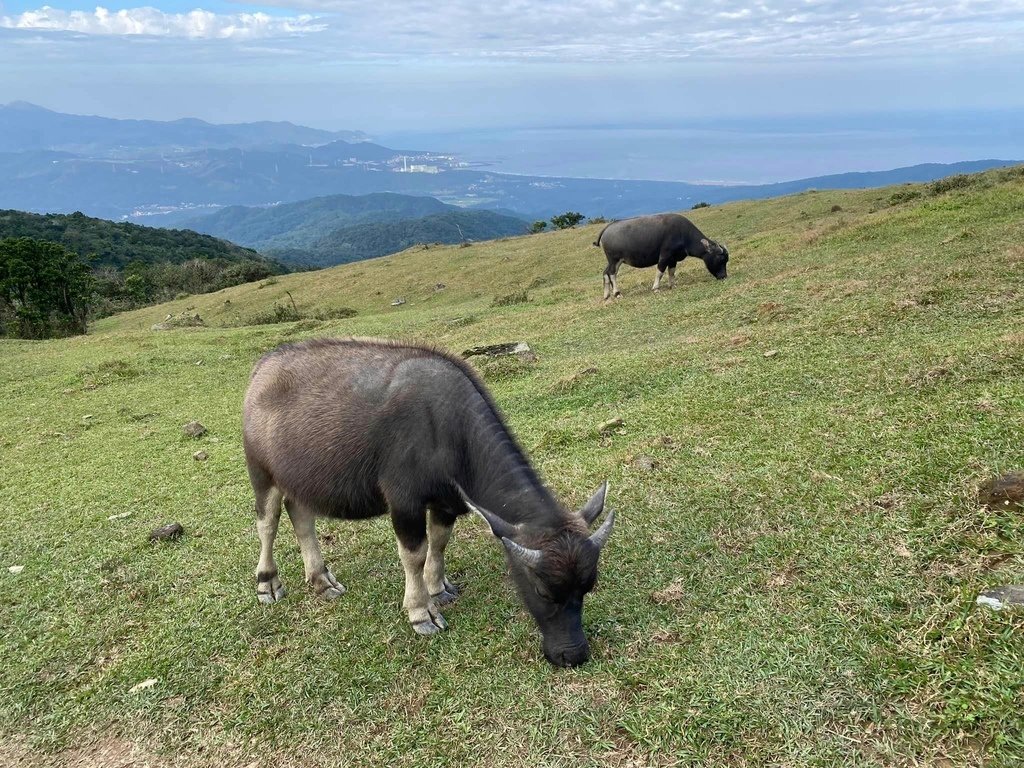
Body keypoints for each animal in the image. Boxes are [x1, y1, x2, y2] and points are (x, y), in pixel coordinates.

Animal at [241, 337, 614, 667]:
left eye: (587, 587)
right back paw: (268, 582)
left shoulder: (446, 502)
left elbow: (439, 542)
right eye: (542, 591)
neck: (446, 429)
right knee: (267, 522)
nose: (572, 655)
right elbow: (414, 555)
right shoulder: (404, 502)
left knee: (300, 516)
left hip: (298, 479)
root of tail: (262, 368)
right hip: (261, 473)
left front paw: (438, 587)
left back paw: (321, 579)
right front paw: (421, 611)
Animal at [593, 217, 729, 303]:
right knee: (612, 274)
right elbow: (660, 271)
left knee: (605, 273)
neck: (683, 235)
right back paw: (617, 293)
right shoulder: (665, 256)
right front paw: (656, 288)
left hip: (612, 261)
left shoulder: (673, 259)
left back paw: (606, 295)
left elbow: (671, 272)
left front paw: (672, 285)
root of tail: (607, 229)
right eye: (721, 258)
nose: (723, 276)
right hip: (615, 260)